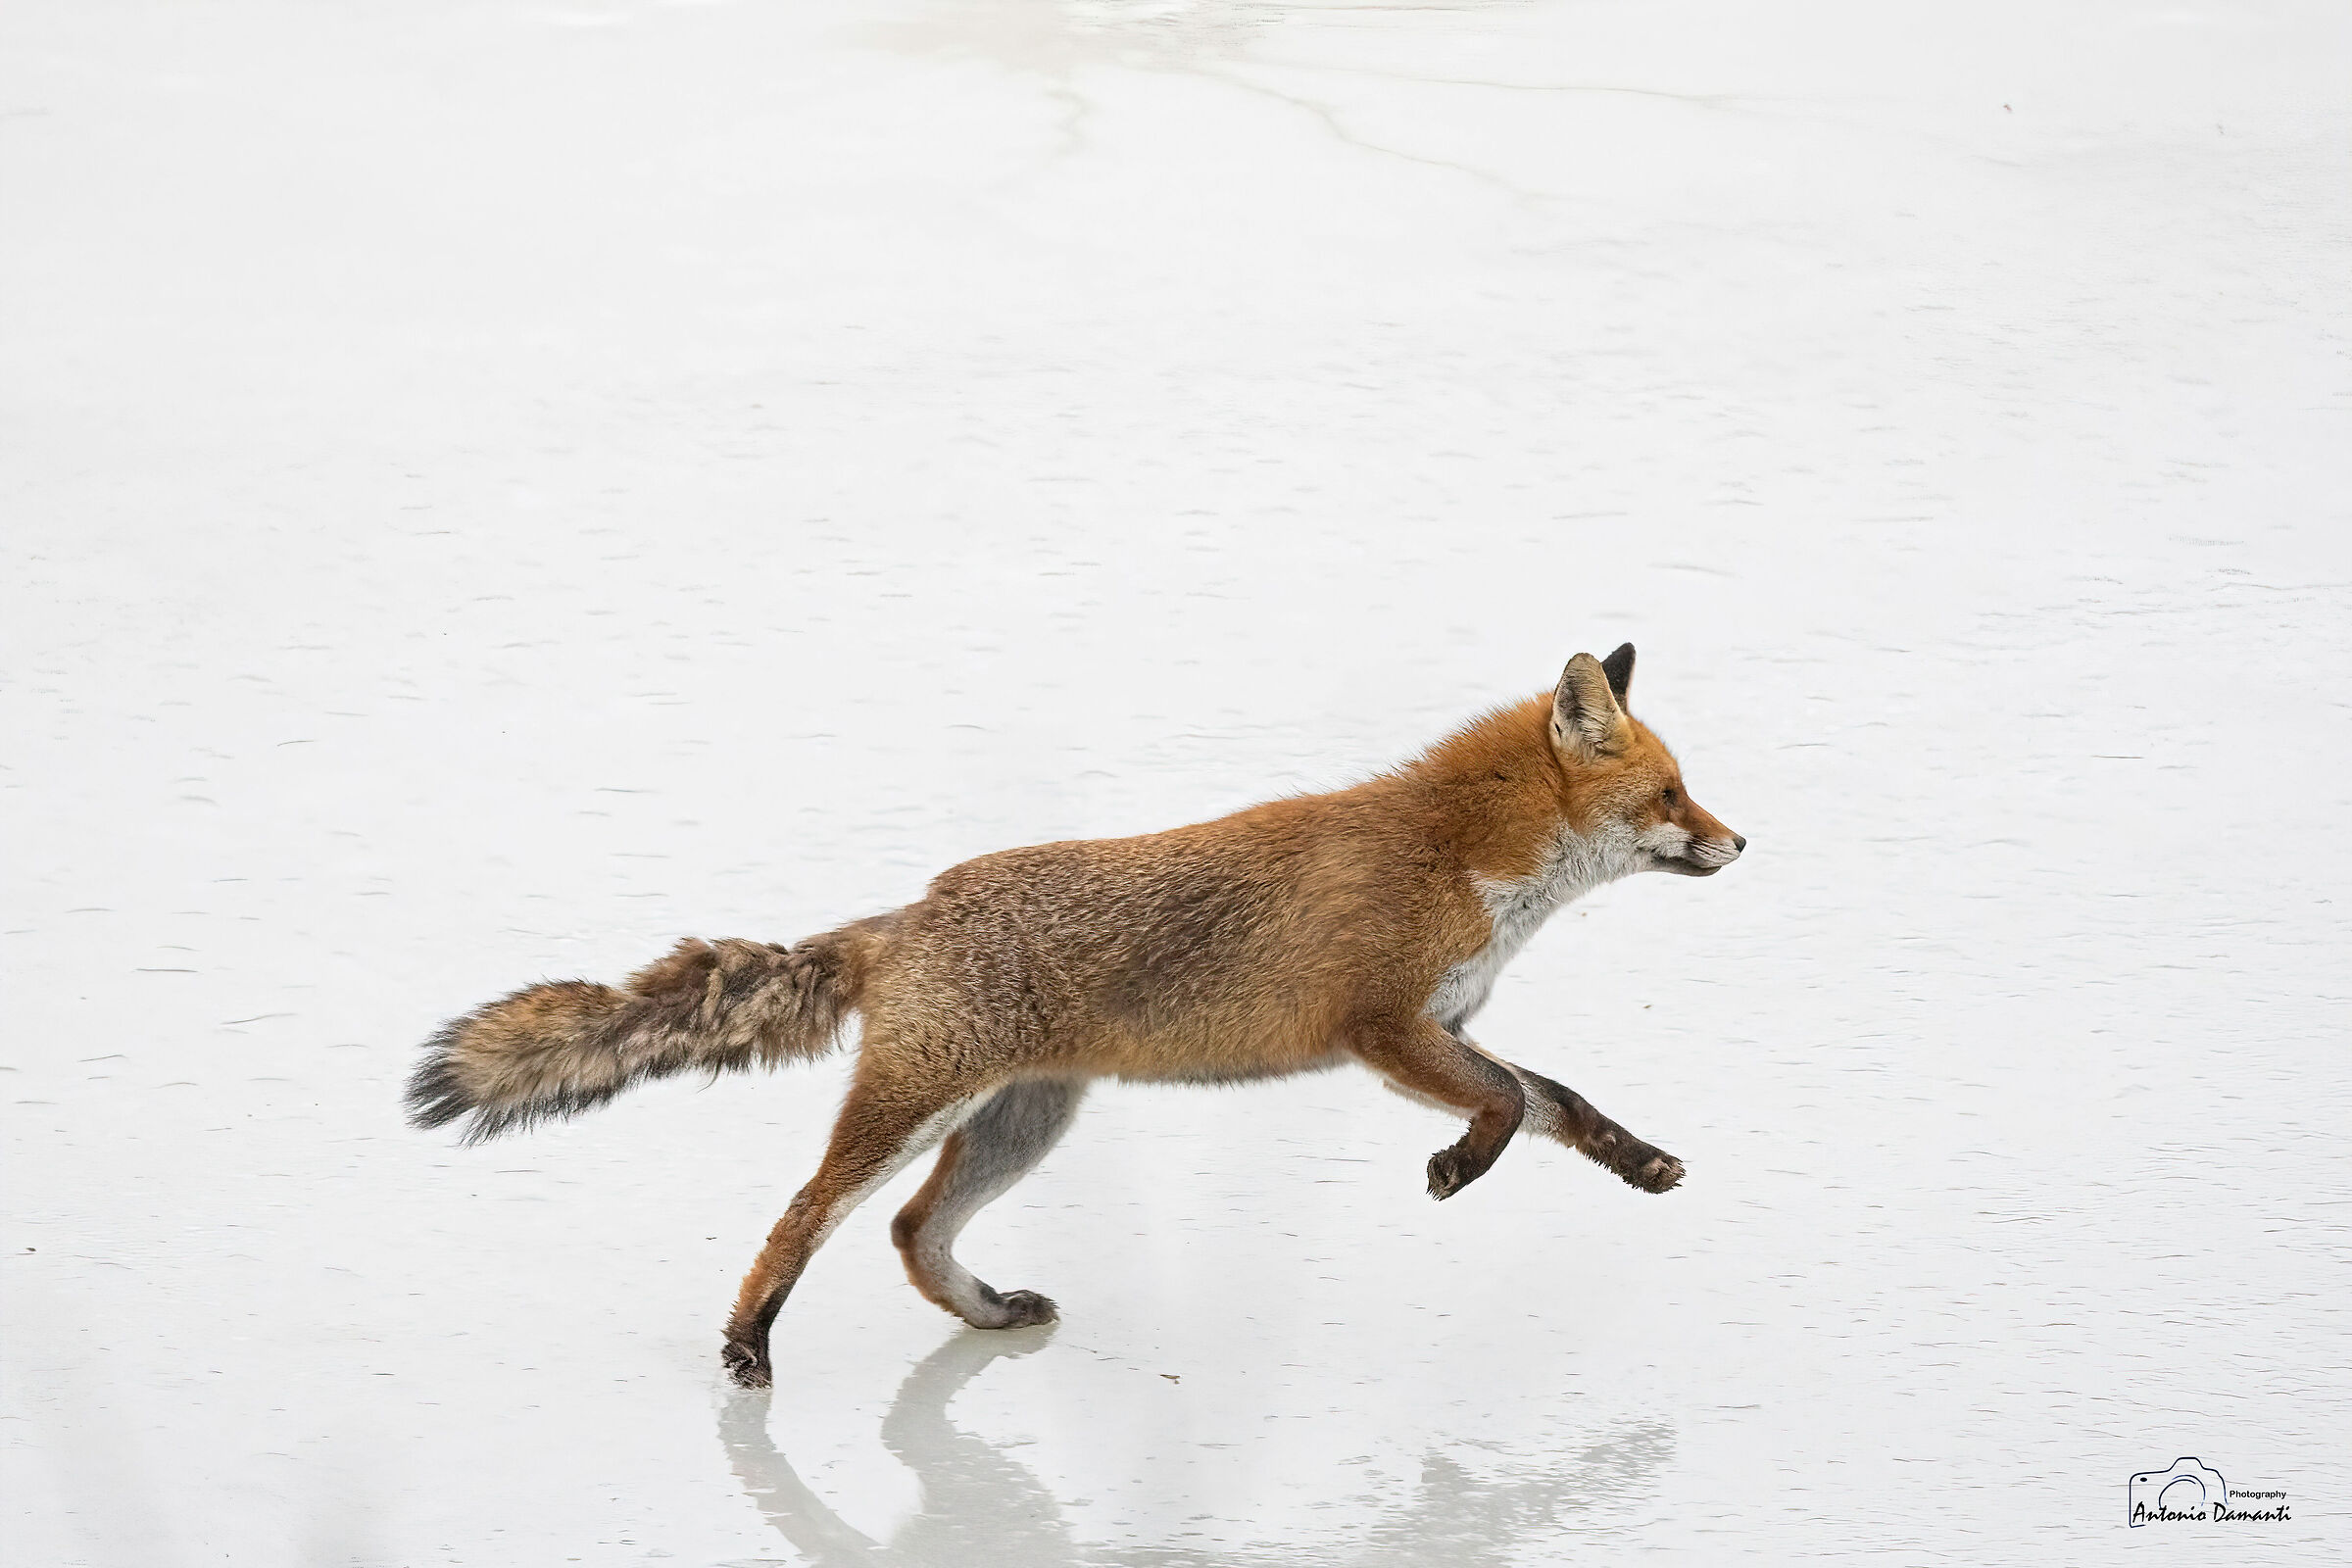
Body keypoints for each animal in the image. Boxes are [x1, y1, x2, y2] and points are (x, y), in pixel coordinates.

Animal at [407, 645, 1744, 1388]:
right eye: (1673, 793)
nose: (1741, 842)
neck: (1467, 859)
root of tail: (906, 914)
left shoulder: (1449, 1028)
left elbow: (1560, 1100)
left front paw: (1640, 1162)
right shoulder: (1387, 1029)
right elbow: (1511, 1105)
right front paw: (1458, 1169)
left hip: (1025, 1122)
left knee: (910, 1231)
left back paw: (987, 1313)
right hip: (917, 1107)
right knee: (806, 1214)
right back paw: (747, 1350)